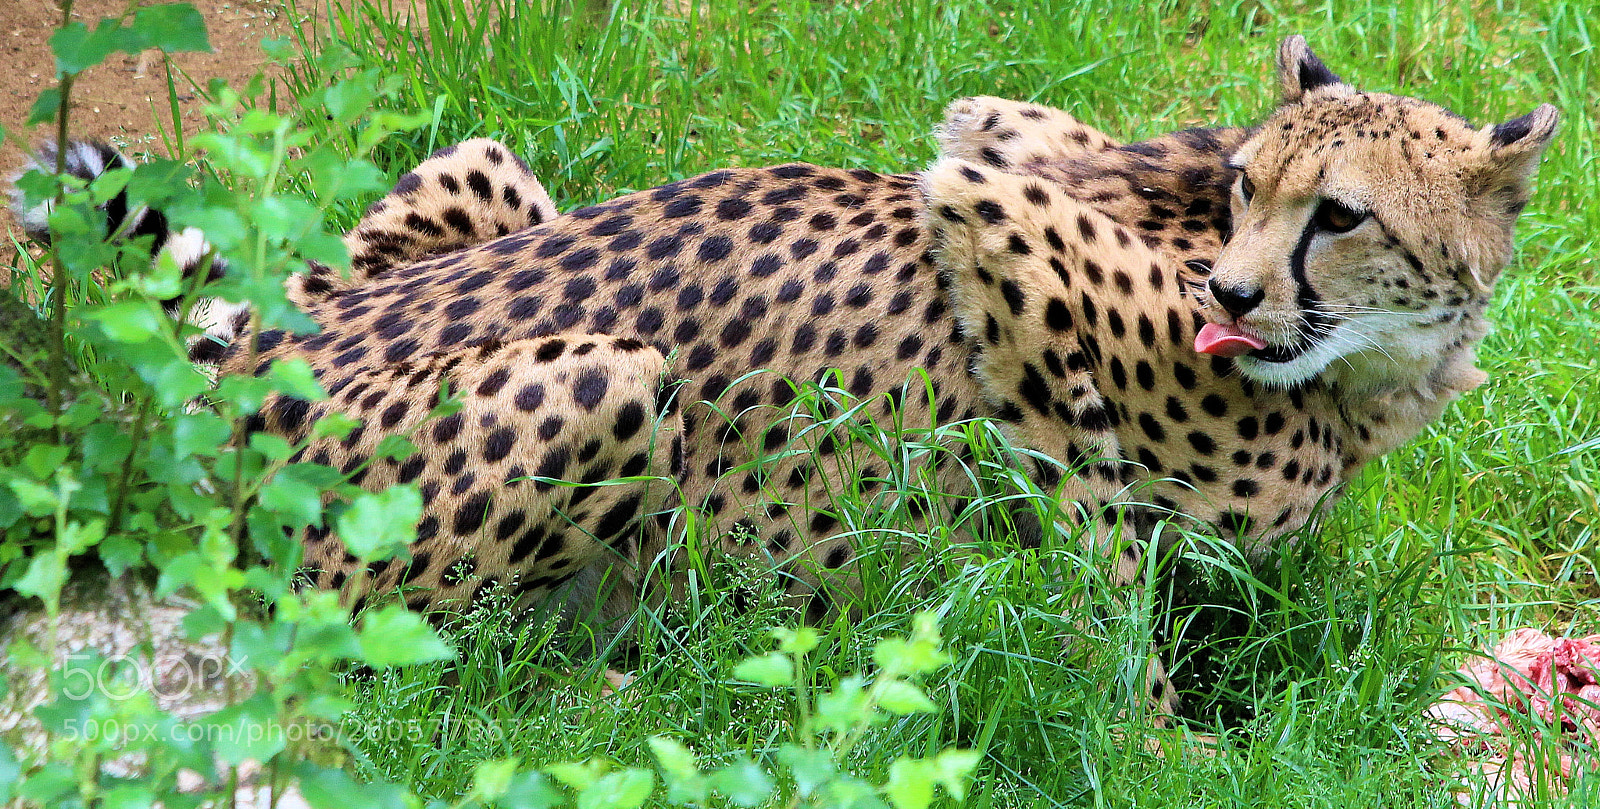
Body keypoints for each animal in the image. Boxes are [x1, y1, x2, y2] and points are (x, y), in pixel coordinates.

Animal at [13, 37, 1556, 716]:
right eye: (1252, 188)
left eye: (1338, 212)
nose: (1230, 296)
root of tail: (268, 357)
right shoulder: (994, 211)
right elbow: (1097, 562)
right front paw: (1163, 742)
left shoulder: (1002, 126)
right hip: (609, 381)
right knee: (344, 654)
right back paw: (620, 683)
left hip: (482, 177)